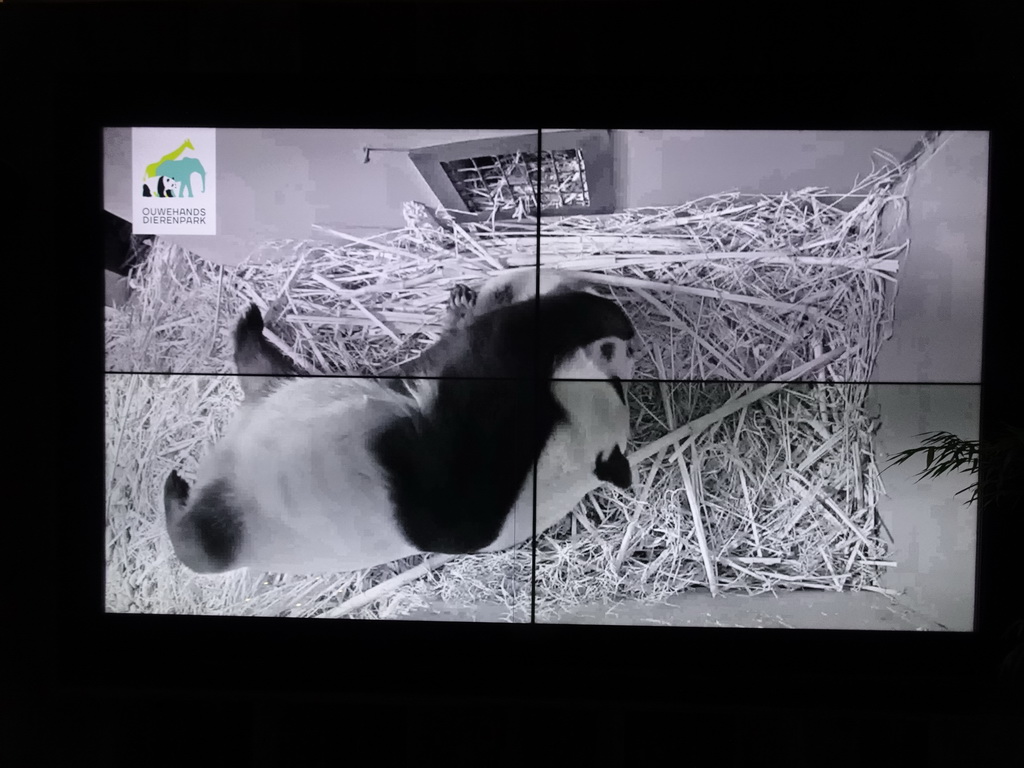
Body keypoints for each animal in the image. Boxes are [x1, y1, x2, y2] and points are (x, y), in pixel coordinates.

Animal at [163, 272, 634, 577]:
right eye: (612, 364)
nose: (627, 351)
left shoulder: (472, 464)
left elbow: (495, 346)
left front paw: (601, 313)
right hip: (283, 396)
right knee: (267, 370)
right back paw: (251, 325)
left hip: (237, 522)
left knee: (198, 544)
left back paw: (175, 489)